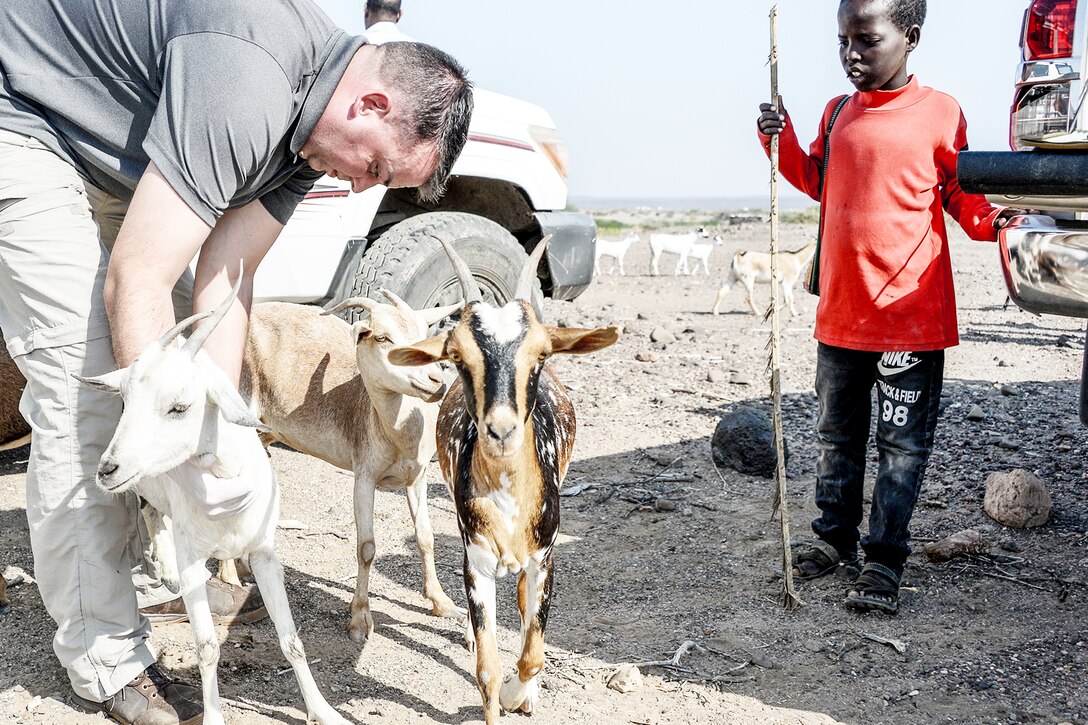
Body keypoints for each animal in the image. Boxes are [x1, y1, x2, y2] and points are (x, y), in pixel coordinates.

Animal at [77, 272, 348, 722]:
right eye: (126, 402)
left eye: (179, 406)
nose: (107, 469)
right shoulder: (193, 560)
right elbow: (206, 649)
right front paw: (214, 714)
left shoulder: (265, 554)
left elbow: (292, 640)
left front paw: (323, 710)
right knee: (149, 511)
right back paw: (164, 565)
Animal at [240, 293, 465, 644]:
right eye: (382, 338)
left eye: (425, 334)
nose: (436, 382)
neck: (397, 436)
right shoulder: (364, 475)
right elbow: (366, 548)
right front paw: (360, 619)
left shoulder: (418, 478)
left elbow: (426, 536)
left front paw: (442, 603)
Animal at [389, 237, 622, 722]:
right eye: (456, 356)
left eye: (542, 352)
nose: (500, 430)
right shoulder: (476, 562)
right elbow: (486, 670)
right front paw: (502, 692)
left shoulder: (545, 558)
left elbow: (533, 653)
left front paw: (522, 694)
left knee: (520, 603)